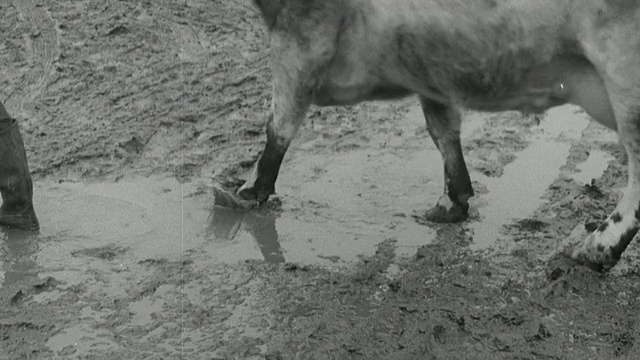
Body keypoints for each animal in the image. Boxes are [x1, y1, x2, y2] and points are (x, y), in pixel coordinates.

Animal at [239, 0, 640, 270]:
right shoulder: (429, 67)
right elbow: (442, 129)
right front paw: (448, 206)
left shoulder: (301, 36)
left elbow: (279, 124)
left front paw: (244, 193)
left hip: (623, 68)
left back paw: (593, 249)